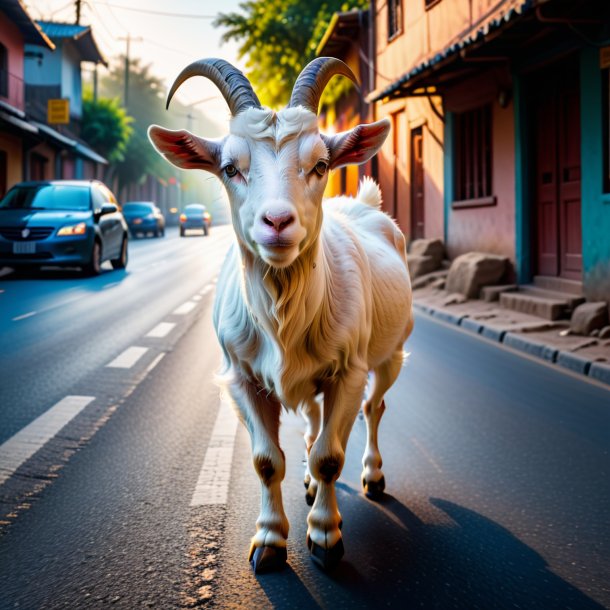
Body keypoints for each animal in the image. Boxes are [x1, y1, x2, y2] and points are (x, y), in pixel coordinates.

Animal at [148, 57, 414, 568]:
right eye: (229, 168)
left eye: (321, 164)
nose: (276, 222)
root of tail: (365, 205)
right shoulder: (241, 377)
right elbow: (267, 461)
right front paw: (270, 540)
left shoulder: (348, 371)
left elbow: (330, 456)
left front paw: (326, 537)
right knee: (312, 420)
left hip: (391, 353)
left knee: (374, 407)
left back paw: (373, 476)